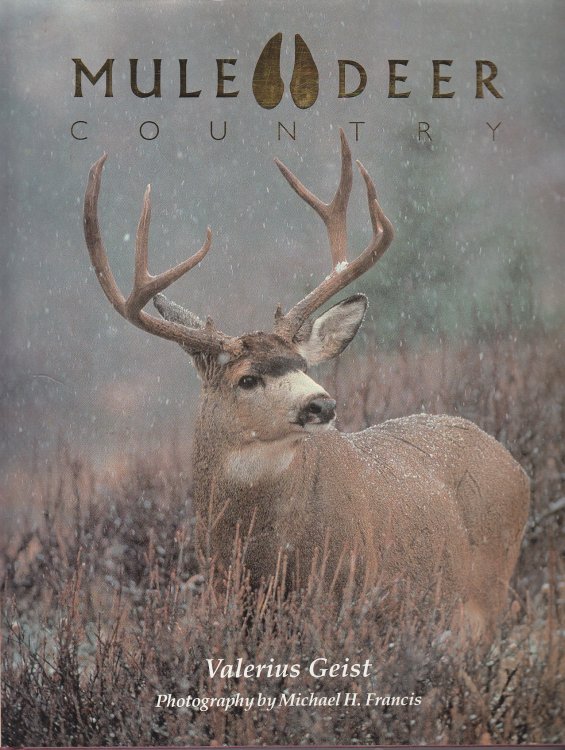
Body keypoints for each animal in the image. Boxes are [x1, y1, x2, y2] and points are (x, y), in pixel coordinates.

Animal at [83, 130, 530, 635]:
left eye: (301, 364)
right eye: (247, 378)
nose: (322, 404)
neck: (263, 553)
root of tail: (516, 466)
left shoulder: (347, 591)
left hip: (488, 593)